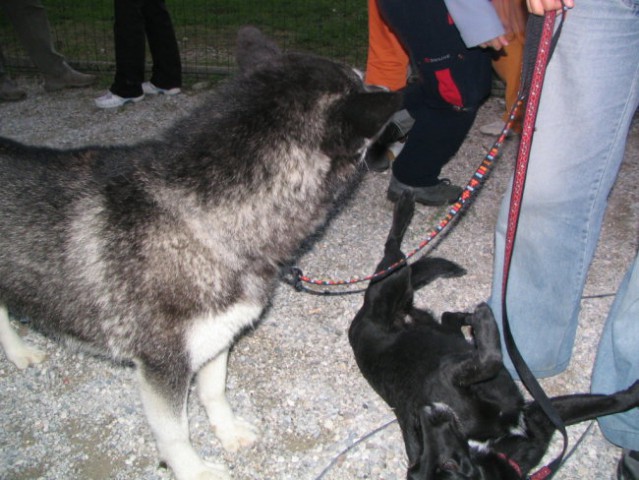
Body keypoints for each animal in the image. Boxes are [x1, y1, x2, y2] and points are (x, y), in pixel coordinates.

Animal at [0, 27, 400, 480]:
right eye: (360, 79)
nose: (388, 90)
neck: (202, 223)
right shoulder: (162, 366)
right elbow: (174, 433)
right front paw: (193, 468)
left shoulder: (217, 336)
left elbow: (215, 391)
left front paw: (226, 431)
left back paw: (17, 352)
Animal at [350, 191, 639, 480]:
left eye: (449, 464)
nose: (426, 410)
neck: (486, 445)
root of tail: (359, 320)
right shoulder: (455, 378)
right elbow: (491, 360)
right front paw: (486, 321)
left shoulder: (541, 415)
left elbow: (612, 401)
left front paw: (633, 391)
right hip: (391, 284)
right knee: (396, 253)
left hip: (403, 292)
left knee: (427, 291)